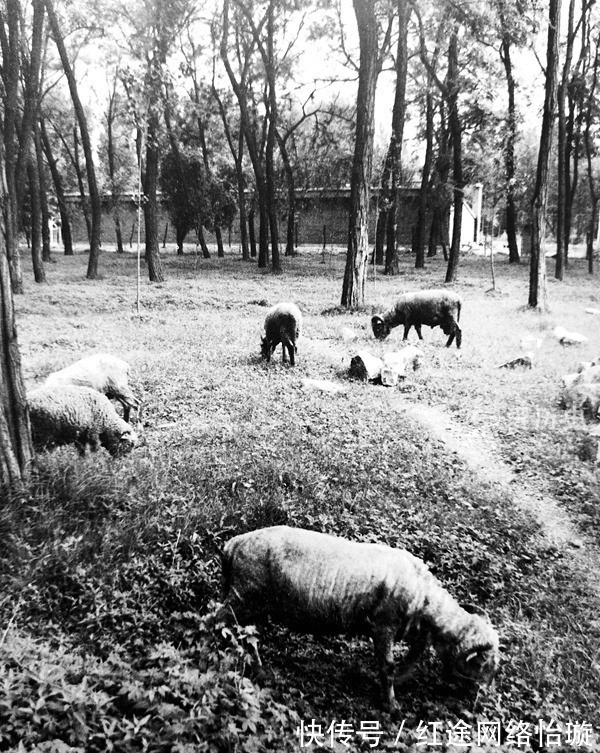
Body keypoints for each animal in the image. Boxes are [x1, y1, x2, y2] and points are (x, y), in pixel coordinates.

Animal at [223, 524, 500, 712]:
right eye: (480, 663)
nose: (481, 696)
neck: (424, 596)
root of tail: (233, 544)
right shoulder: (383, 627)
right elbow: (388, 666)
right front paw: (391, 706)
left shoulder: (417, 634)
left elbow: (409, 663)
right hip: (243, 597)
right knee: (222, 619)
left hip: (255, 604)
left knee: (248, 634)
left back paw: (260, 670)